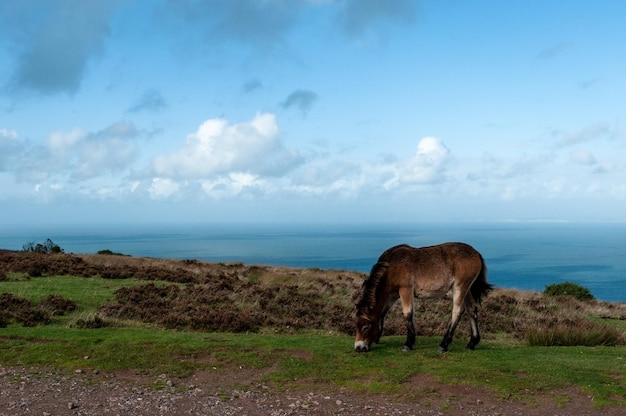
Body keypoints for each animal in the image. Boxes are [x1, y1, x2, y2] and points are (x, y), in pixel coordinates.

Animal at [352, 242, 492, 352]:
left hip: (460, 286)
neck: (390, 267)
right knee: (472, 310)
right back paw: (472, 343)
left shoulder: (405, 289)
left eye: (366, 327)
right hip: (468, 289)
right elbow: (382, 313)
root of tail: (476, 253)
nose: (358, 347)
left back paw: (444, 344)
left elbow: (408, 313)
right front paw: (377, 337)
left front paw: (408, 343)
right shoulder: (392, 295)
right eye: (356, 325)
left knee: (457, 311)